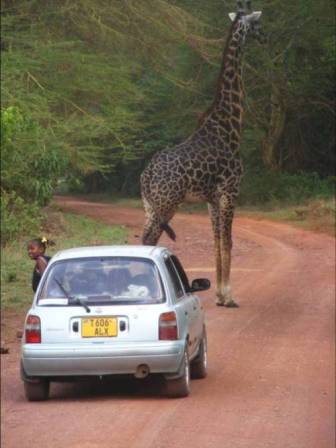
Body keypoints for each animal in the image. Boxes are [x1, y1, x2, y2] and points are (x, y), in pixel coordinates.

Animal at [140, 0, 266, 306]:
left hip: (149, 205)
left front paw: (220, 293)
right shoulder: (231, 190)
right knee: (149, 239)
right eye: (258, 24)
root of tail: (145, 175)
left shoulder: (211, 199)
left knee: (143, 239)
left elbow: (217, 241)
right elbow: (229, 240)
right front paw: (229, 296)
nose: (265, 38)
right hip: (166, 204)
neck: (229, 123)